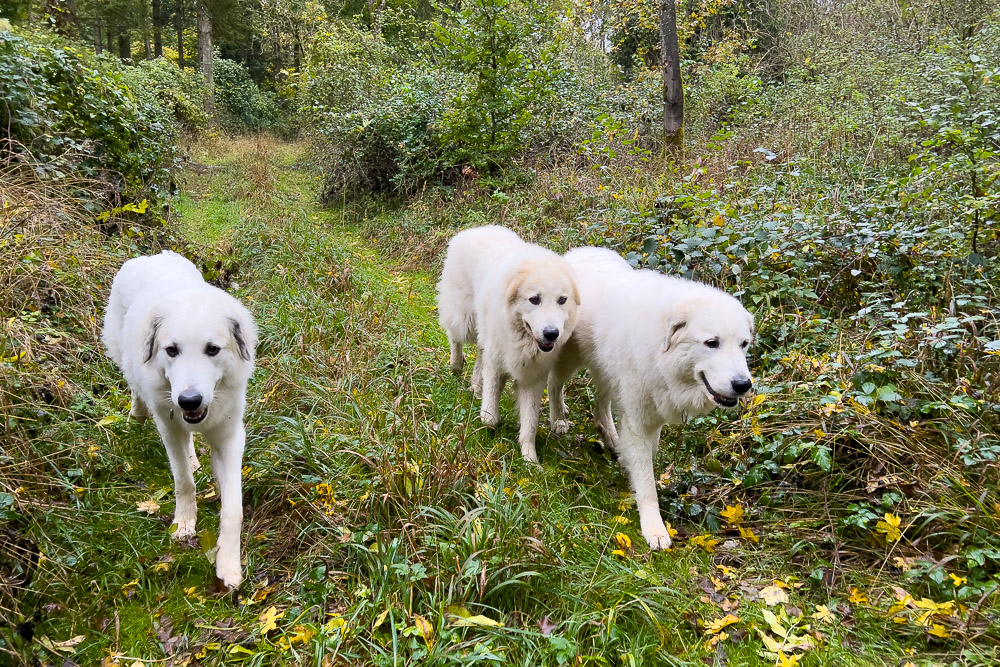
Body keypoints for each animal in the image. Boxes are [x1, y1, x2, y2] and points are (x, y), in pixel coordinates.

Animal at [101, 252, 256, 588]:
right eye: (171, 350)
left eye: (212, 349)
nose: (189, 400)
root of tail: (151, 256)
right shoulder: (169, 425)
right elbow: (182, 480)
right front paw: (184, 523)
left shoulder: (230, 436)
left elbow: (233, 508)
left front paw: (228, 564)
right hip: (125, 357)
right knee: (136, 388)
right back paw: (136, 417)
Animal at [436, 227, 580, 462]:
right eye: (534, 299)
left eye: (562, 300)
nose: (551, 334)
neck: (522, 338)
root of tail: (474, 229)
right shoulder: (496, 365)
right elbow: (489, 415)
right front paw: (489, 426)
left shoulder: (533, 379)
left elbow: (530, 424)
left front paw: (530, 459)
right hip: (465, 320)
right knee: (455, 336)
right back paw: (456, 364)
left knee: (479, 353)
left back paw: (476, 386)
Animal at [548, 248, 752, 552]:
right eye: (712, 343)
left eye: (744, 344)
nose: (743, 385)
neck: (660, 350)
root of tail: (579, 252)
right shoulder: (639, 420)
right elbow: (647, 483)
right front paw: (654, 529)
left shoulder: (653, 415)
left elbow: (650, 453)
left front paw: (626, 461)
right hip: (569, 356)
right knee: (555, 383)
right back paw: (558, 420)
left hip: (607, 370)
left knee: (601, 403)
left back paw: (611, 438)